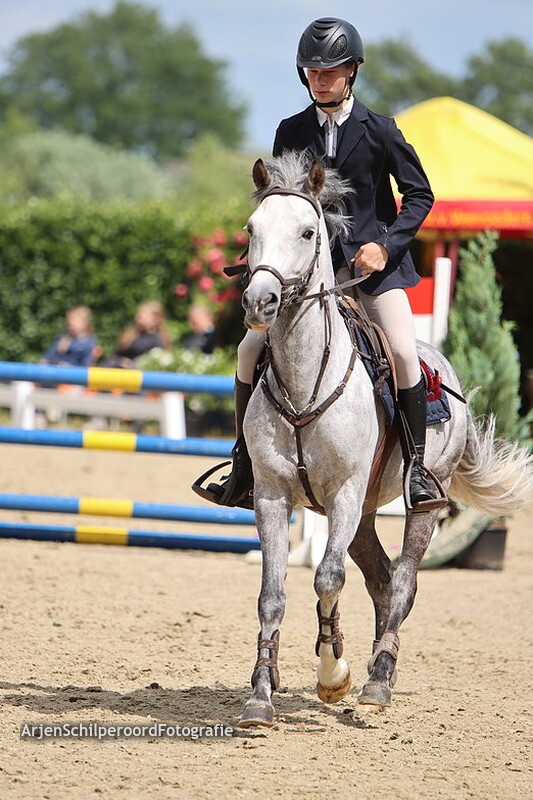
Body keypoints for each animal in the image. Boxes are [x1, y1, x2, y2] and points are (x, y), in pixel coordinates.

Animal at [233, 151, 532, 728]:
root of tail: (442, 365)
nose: (260, 302)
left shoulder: (345, 493)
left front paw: (334, 675)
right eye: (251, 229)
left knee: (404, 582)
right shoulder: (273, 496)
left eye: (308, 231)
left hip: (418, 503)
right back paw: (374, 664)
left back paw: (377, 679)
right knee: (380, 577)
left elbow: (327, 578)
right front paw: (261, 693)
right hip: (367, 511)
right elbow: (271, 595)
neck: (304, 378)